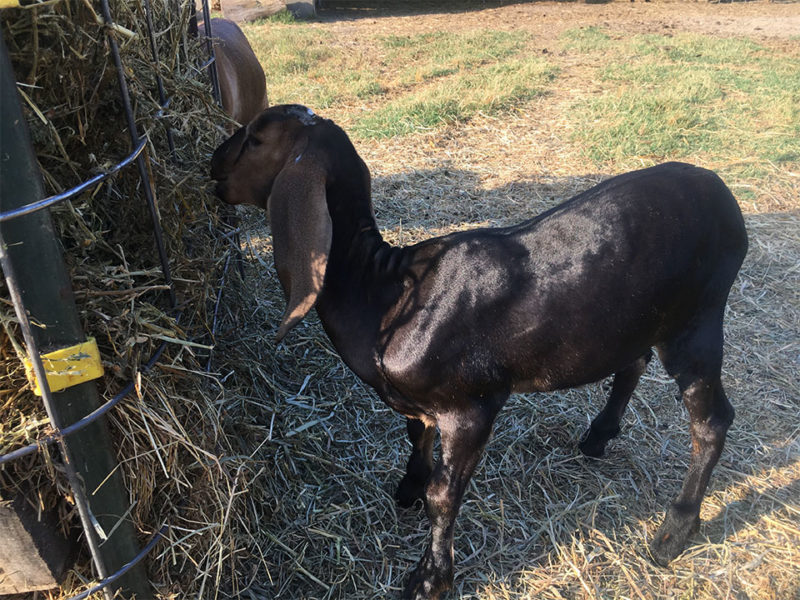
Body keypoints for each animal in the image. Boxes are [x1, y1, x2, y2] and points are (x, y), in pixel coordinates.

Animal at [211, 104, 748, 600]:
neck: (387, 292)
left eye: (255, 138)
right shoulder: (423, 403)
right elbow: (416, 436)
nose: (212, 161)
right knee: (634, 361)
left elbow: (444, 497)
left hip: (697, 317)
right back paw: (598, 437)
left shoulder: (471, 406)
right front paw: (408, 486)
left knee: (712, 421)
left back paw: (673, 532)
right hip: (637, 317)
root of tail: (721, 191)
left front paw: (429, 580)